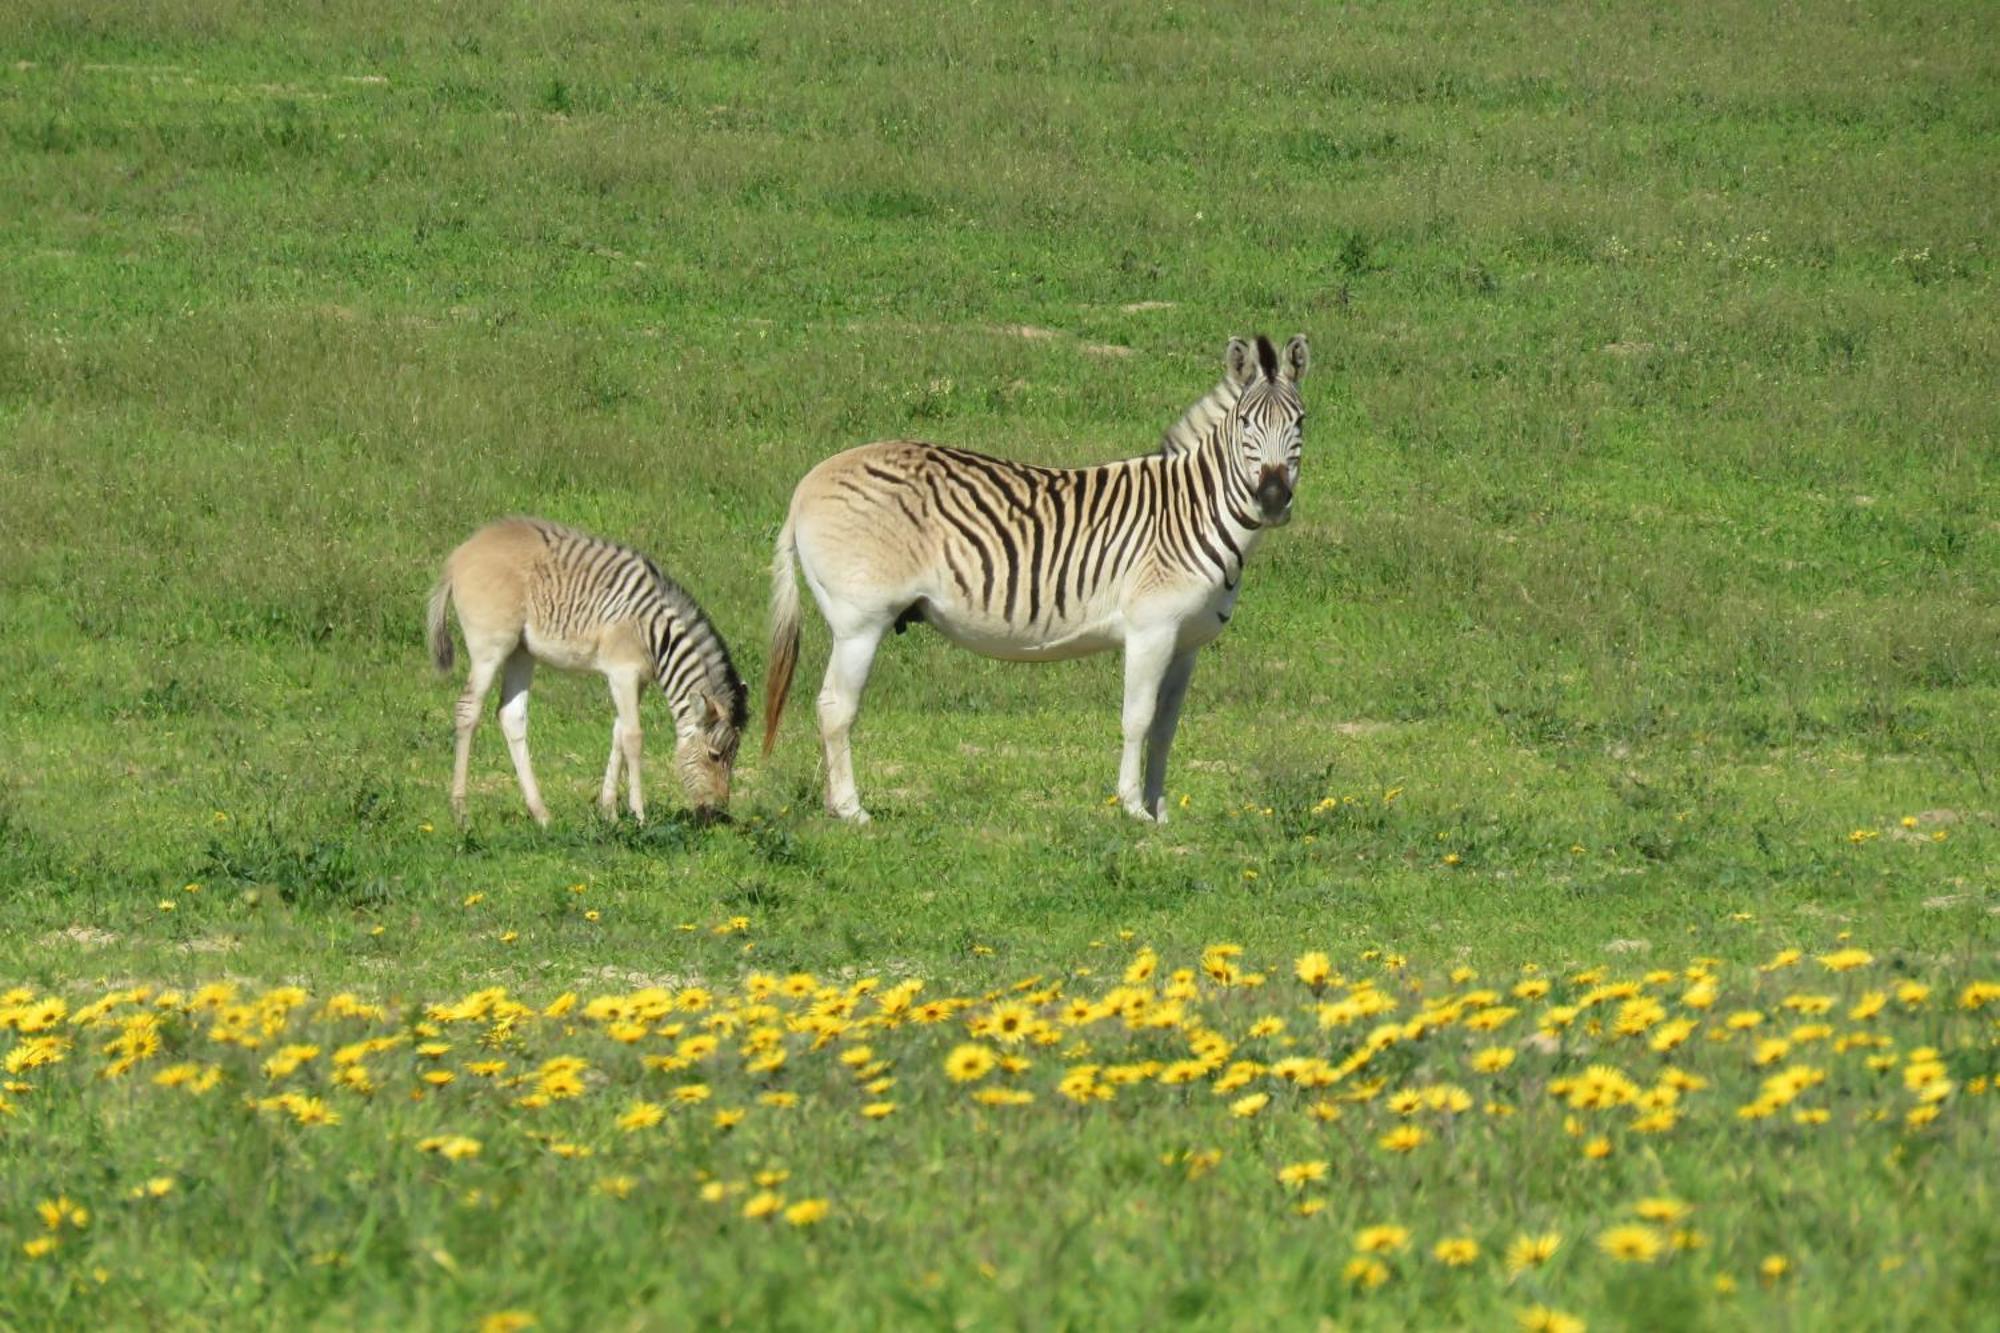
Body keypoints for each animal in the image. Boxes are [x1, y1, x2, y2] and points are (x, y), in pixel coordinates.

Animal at [426, 516, 748, 820]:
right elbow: (633, 737)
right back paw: (461, 811)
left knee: (511, 715)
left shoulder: (637, 679)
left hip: (521, 650)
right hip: (490, 648)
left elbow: (618, 733)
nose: (718, 813)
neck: (656, 635)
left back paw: (541, 814)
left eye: (733, 757)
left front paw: (610, 813)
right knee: (468, 709)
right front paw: (639, 814)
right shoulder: (623, 672)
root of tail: (461, 552)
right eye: (715, 755)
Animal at [764, 332, 1312, 820]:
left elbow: (1165, 727)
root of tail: (807, 484)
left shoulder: (1187, 643)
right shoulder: (1150, 630)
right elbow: (1136, 719)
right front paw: (1132, 808)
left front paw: (1159, 814)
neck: (1192, 511)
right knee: (835, 707)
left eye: (1301, 421)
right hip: (860, 621)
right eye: (1246, 423)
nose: (1272, 500)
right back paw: (851, 811)